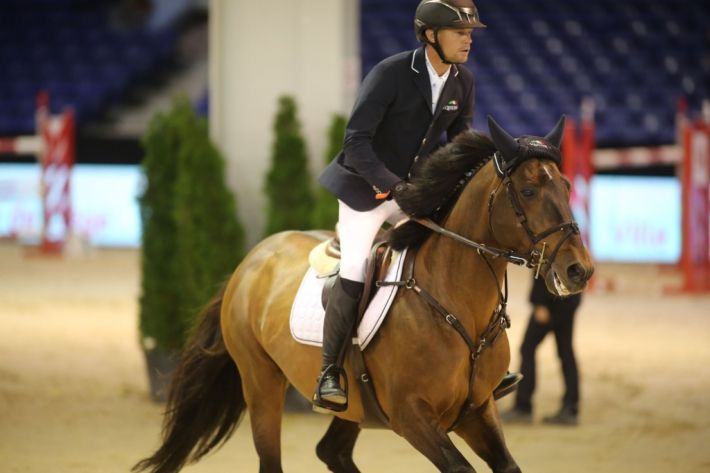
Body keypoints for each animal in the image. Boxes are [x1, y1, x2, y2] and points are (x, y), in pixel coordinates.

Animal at [134, 115, 596, 472]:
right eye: (529, 191)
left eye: (567, 186)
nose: (580, 271)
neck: (457, 304)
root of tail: (250, 262)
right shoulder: (413, 417)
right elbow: (460, 467)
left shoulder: (478, 409)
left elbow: (507, 465)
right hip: (261, 383)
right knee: (273, 458)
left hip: (354, 406)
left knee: (331, 452)